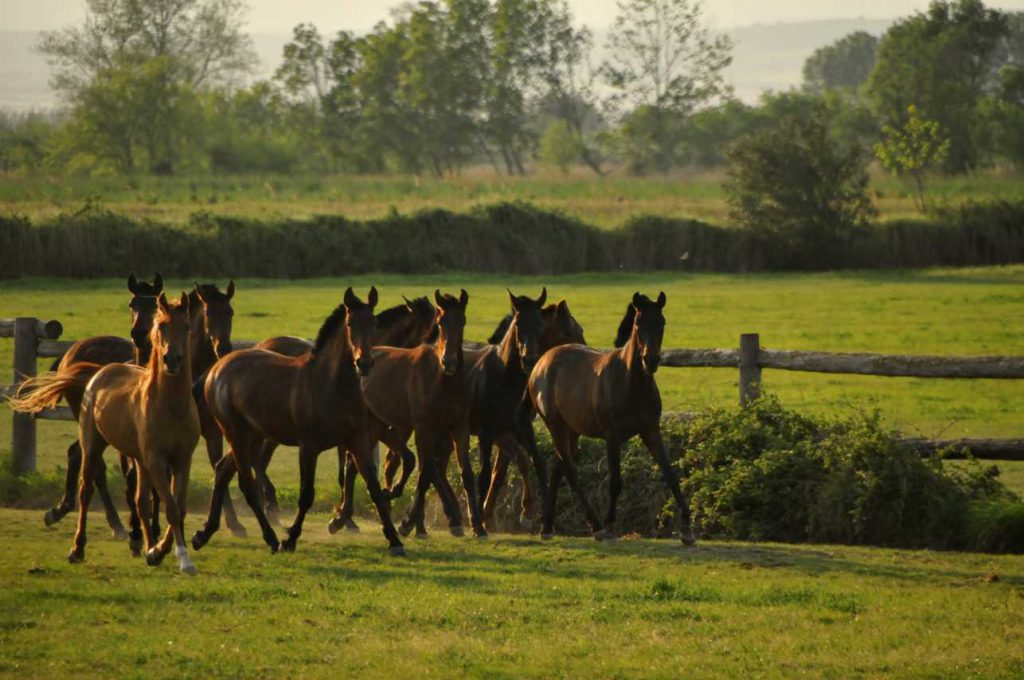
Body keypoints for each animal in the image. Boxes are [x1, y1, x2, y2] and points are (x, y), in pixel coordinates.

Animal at [13, 292, 202, 573]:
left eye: (187, 326)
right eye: (161, 326)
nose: (172, 360)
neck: (170, 405)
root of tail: (98, 372)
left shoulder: (181, 460)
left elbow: (178, 508)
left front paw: (159, 551)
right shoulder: (156, 459)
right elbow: (170, 506)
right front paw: (181, 558)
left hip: (138, 459)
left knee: (141, 501)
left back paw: (146, 546)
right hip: (94, 444)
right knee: (86, 489)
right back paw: (77, 548)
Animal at [192, 287, 406, 556]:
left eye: (375, 324)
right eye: (350, 324)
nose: (364, 363)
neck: (331, 385)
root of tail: (216, 369)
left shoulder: (357, 442)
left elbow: (375, 490)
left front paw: (395, 541)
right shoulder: (308, 447)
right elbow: (306, 495)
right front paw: (291, 539)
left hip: (251, 436)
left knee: (221, 471)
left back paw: (204, 534)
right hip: (236, 433)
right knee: (246, 484)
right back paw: (271, 538)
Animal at [251, 295, 437, 525]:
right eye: (430, 329)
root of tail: (260, 345)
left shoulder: (373, 431)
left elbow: (396, 462)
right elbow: (353, 469)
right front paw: (344, 516)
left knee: (261, 459)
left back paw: (267, 506)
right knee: (259, 459)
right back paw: (268, 503)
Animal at [358, 290, 487, 538]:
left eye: (462, 321)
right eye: (440, 322)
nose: (449, 361)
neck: (441, 381)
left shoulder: (459, 428)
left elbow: (465, 473)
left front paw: (477, 525)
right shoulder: (425, 430)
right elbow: (426, 474)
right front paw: (408, 523)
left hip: (388, 426)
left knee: (389, 463)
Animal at [527, 292, 695, 545]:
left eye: (662, 322)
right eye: (638, 323)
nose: (651, 360)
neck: (631, 382)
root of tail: (542, 361)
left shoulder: (651, 430)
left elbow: (671, 474)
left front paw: (687, 530)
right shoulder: (612, 435)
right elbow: (615, 481)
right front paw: (609, 525)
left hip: (571, 430)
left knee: (560, 466)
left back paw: (547, 526)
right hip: (555, 425)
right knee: (570, 470)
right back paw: (595, 525)